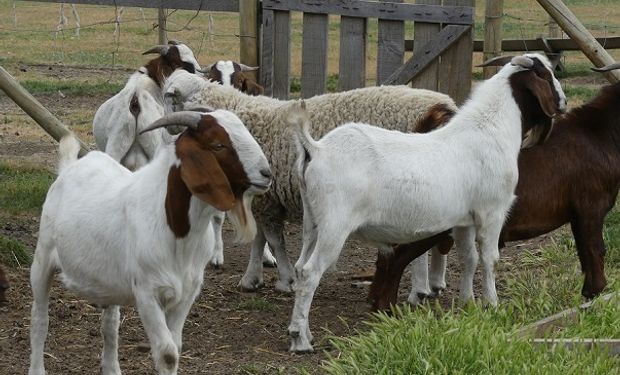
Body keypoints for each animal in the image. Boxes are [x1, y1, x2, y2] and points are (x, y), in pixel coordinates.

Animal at [29, 110, 272, 374]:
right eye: (218, 145)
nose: (267, 174)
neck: (177, 233)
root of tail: (69, 168)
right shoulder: (147, 292)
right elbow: (167, 353)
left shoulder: (188, 291)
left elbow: (176, 345)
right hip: (42, 258)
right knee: (40, 319)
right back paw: (37, 367)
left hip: (108, 282)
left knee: (110, 325)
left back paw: (112, 368)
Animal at [286, 53, 568, 352]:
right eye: (546, 74)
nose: (564, 102)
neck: (490, 131)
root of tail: (316, 149)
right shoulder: (491, 212)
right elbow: (490, 259)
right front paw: (491, 304)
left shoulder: (465, 220)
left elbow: (469, 258)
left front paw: (468, 303)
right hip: (334, 226)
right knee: (310, 272)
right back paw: (300, 339)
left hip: (312, 222)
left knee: (299, 267)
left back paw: (302, 331)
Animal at [368, 64, 620, 312]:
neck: (597, 133)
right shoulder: (590, 207)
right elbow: (594, 248)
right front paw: (596, 292)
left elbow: (585, 251)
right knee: (396, 256)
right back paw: (387, 305)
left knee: (388, 255)